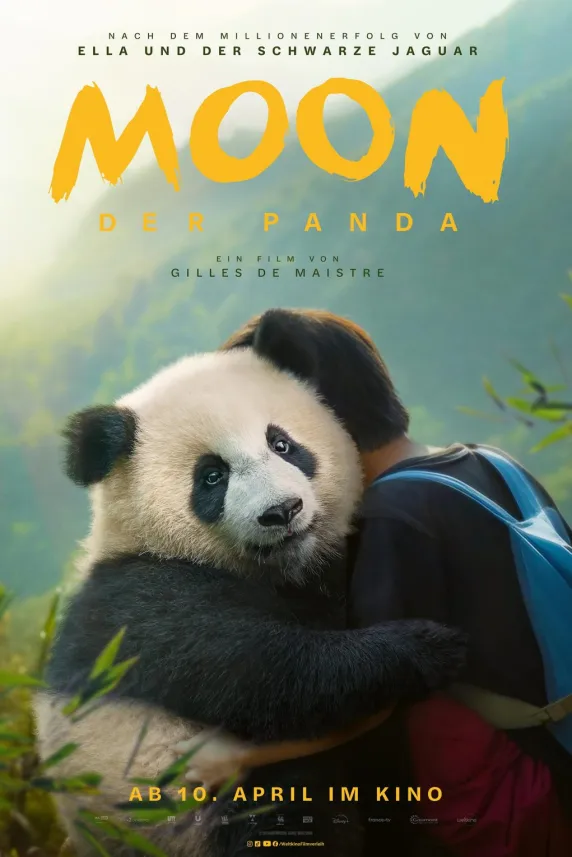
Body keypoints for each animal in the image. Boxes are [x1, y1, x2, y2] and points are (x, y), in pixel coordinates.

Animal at [35, 343, 465, 857]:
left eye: (281, 444)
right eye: (211, 476)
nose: (282, 511)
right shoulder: (142, 601)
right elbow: (265, 671)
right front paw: (425, 646)